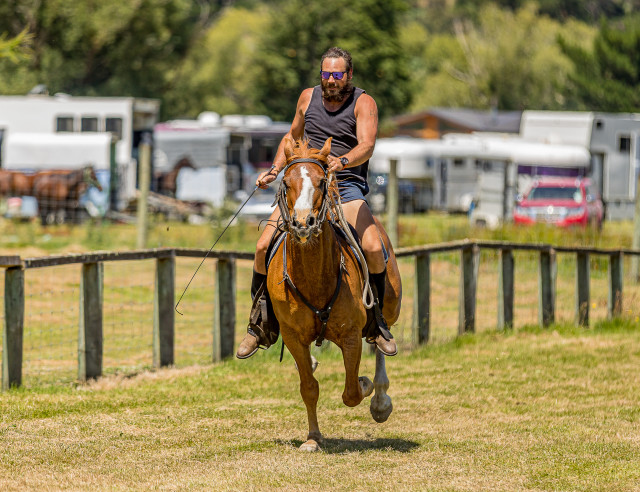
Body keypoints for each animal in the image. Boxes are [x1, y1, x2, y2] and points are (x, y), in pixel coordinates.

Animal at [267, 137, 402, 452]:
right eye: (286, 182)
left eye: (320, 181)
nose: (303, 222)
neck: (314, 278)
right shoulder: (293, 336)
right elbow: (309, 388)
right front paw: (313, 438)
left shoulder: (351, 335)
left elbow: (352, 391)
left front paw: (366, 386)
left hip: (389, 309)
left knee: (380, 341)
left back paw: (380, 400)